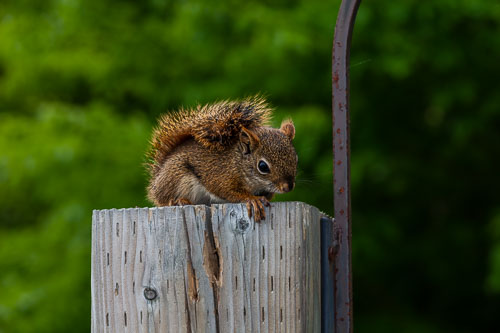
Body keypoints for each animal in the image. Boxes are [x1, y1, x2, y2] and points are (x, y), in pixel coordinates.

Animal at [146, 95, 298, 220]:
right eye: (262, 166)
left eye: (295, 158)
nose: (288, 187)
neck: (237, 162)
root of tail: (157, 179)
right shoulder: (220, 176)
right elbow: (227, 191)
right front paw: (252, 199)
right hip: (175, 177)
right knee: (163, 200)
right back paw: (178, 201)